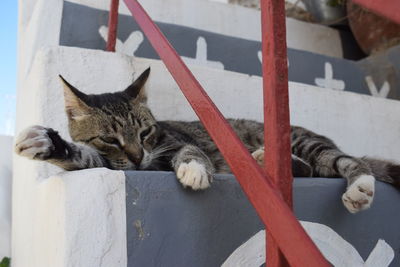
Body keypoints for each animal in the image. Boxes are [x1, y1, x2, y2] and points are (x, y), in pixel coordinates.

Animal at [14, 68, 400, 214]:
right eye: (110, 138)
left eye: (145, 132)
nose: (138, 158)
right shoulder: (108, 160)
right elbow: (84, 156)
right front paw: (46, 142)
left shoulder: (172, 142)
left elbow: (191, 149)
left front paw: (195, 170)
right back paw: (263, 161)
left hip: (304, 141)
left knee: (344, 161)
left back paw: (360, 187)